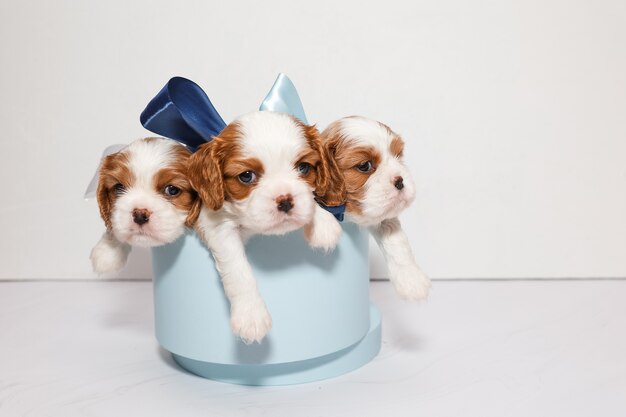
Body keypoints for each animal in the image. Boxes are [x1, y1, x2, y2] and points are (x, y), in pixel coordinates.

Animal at [190, 109, 344, 342]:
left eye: (304, 168)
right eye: (246, 176)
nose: (285, 200)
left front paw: (323, 223)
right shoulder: (216, 224)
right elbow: (238, 270)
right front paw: (251, 315)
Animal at [320, 115, 432, 300]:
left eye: (398, 155)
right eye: (364, 165)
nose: (400, 181)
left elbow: (395, 236)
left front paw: (411, 279)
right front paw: (324, 229)